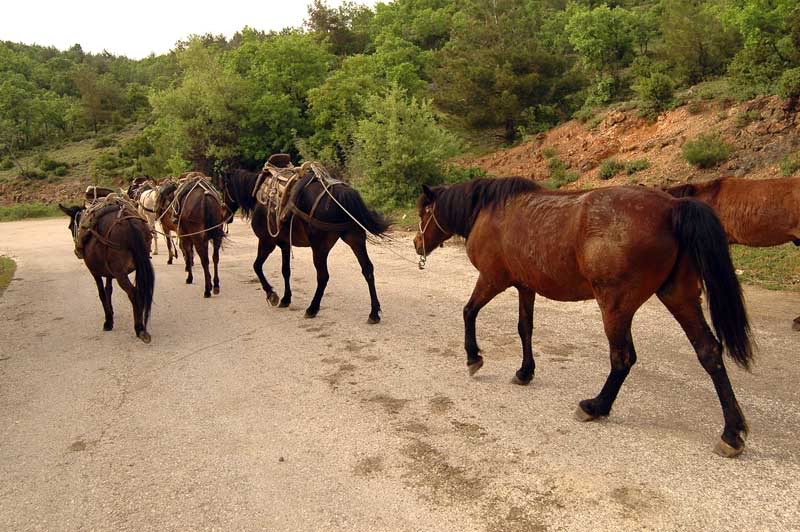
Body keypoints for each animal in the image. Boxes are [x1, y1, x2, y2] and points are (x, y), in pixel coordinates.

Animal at [59, 202, 155, 342]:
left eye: (70, 227)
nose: (77, 251)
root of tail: (129, 223)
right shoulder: (110, 273)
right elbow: (108, 289)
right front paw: (111, 313)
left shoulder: (95, 272)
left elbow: (102, 294)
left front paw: (108, 321)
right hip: (139, 266)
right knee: (141, 289)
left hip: (121, 274)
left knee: (134, 293)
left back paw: (139, 328)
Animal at [220, 166, 390, 324]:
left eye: (223, 189)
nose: (224, 214)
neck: (259, 193)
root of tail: (341, 193)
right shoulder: (284, 244)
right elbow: (285, 270)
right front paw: (286, 299)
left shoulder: (267, 241)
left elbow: (257, 266)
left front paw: (272, 295)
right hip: (355, 239)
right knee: (367, 269)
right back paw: (374, 313)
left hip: (320, 247)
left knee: (323, 276)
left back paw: (312, 308)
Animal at [418, 178, 756, 458]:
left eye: (424, 213)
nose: (415, 244)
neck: (491, 213)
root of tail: (672, 207)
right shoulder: (526, 286)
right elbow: (525, 328)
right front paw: (525, 371)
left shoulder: (491, 279)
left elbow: (469, 312)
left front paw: (473, 357)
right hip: (679, 297)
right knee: (708, 352)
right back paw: (732, 432)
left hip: (616, 306)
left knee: (622, 358)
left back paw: (596, 405)